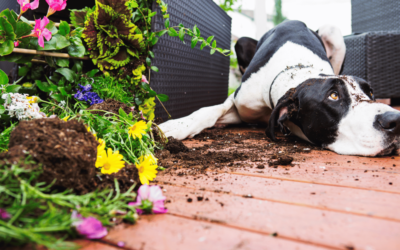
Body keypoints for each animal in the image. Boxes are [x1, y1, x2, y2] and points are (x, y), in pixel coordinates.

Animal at [159, 21, 400, 156]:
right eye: (333, 96)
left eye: (370, 92)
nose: (395, 120)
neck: (297, 71)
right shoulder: (240, 102)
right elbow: (209, 111)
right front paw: (174, 126)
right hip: (242, 42)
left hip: (334, 34)